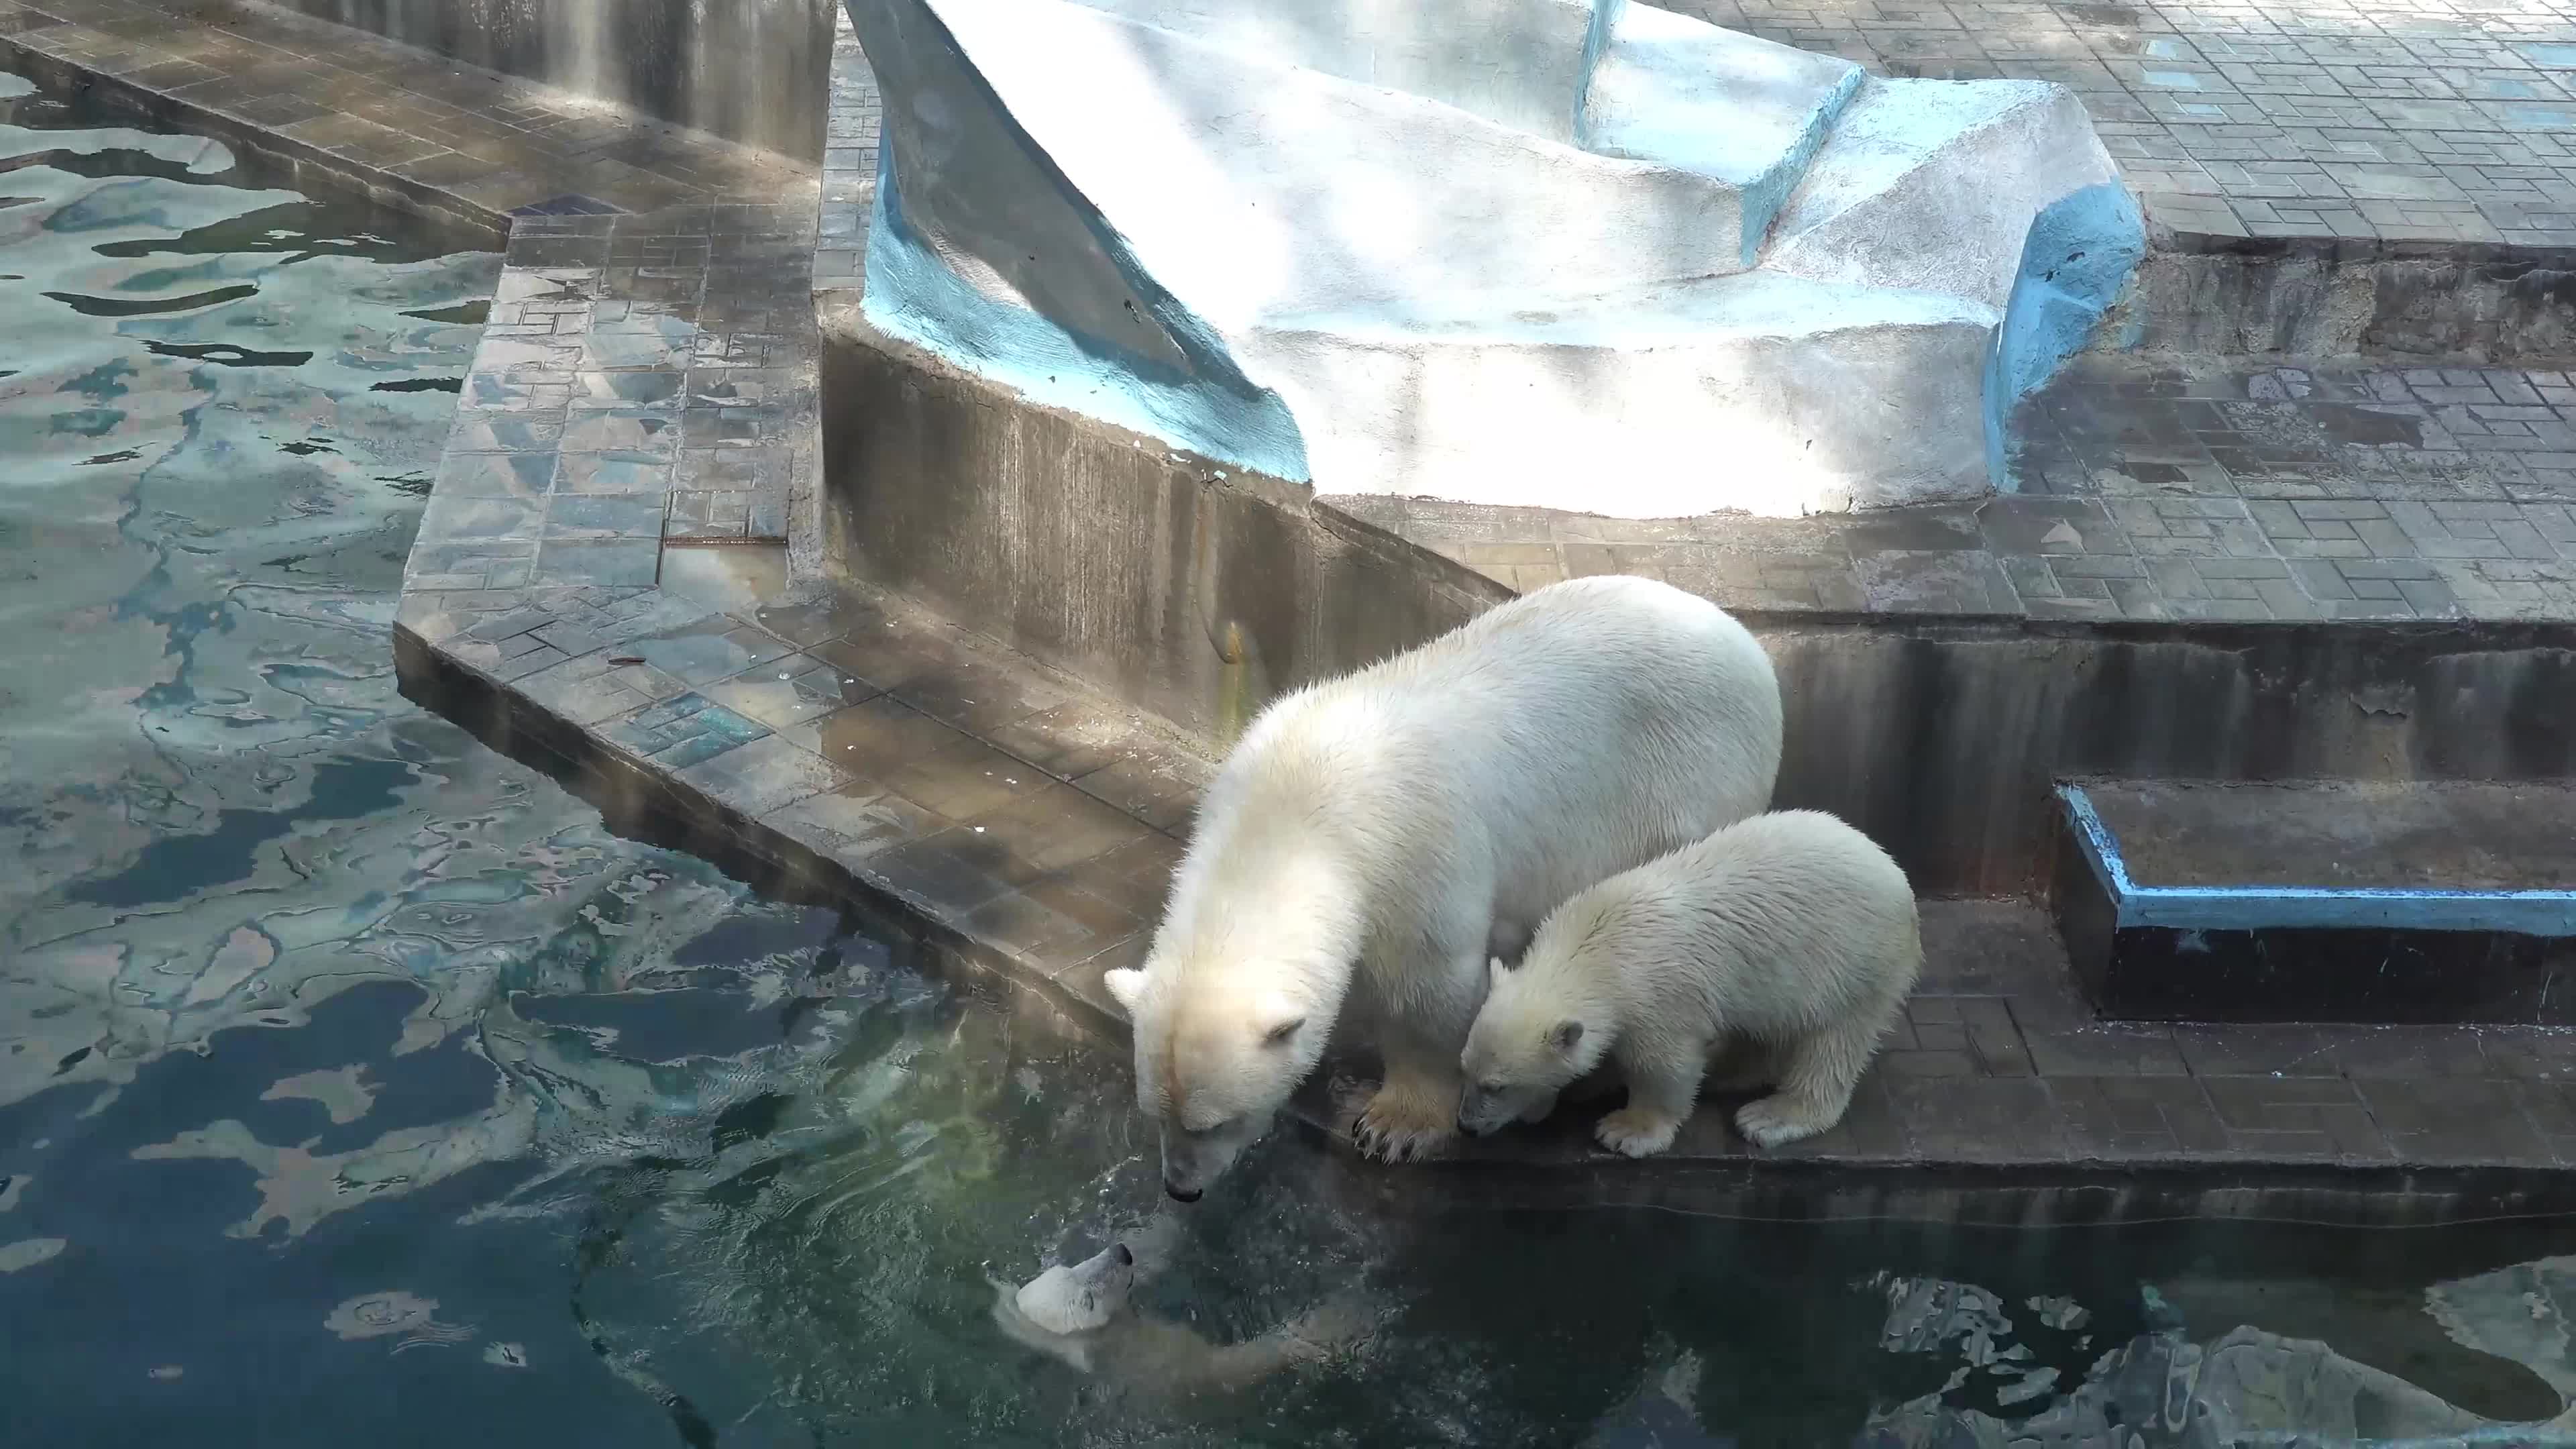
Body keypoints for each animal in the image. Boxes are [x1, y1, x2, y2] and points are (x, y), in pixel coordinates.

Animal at [1097, 575, 1782, 1196]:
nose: (1181, 1189)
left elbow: (1425, 992)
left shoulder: (1409, 850)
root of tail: (1745, 643)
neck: (1290, 817)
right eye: (1156, 1115)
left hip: (1693, 777)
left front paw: (1395, 1126)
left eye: (1213, 1123)